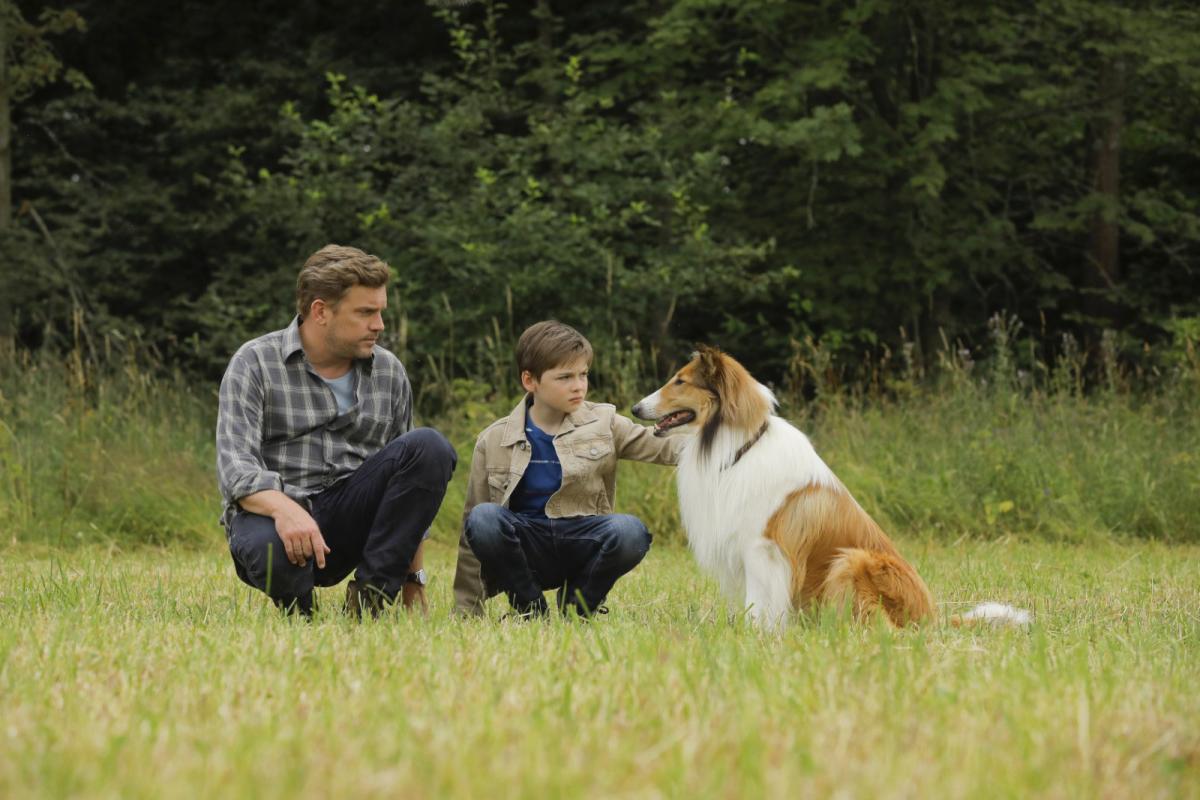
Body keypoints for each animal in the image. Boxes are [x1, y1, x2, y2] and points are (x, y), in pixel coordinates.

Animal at [628, 345, 936, 633]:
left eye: (680, 381)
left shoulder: (762, 550)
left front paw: (754, 634)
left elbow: (758, 602)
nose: (634, 409)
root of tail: (930, 619)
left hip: (852, 560)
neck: (741, 446)